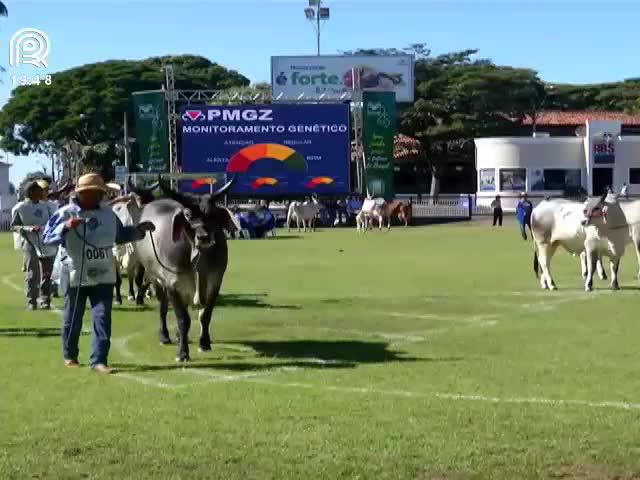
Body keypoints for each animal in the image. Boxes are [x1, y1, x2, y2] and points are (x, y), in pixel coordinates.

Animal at [136, 175, 239, 360]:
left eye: (211, 214)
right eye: (188, 215)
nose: (203, 237)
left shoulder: (215, 282)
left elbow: (205, 316)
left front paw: (204, 343)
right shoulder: (172, 284)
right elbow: (183, 319)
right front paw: (182, 353)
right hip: (155, 279)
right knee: (163, 308)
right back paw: (165, 336)